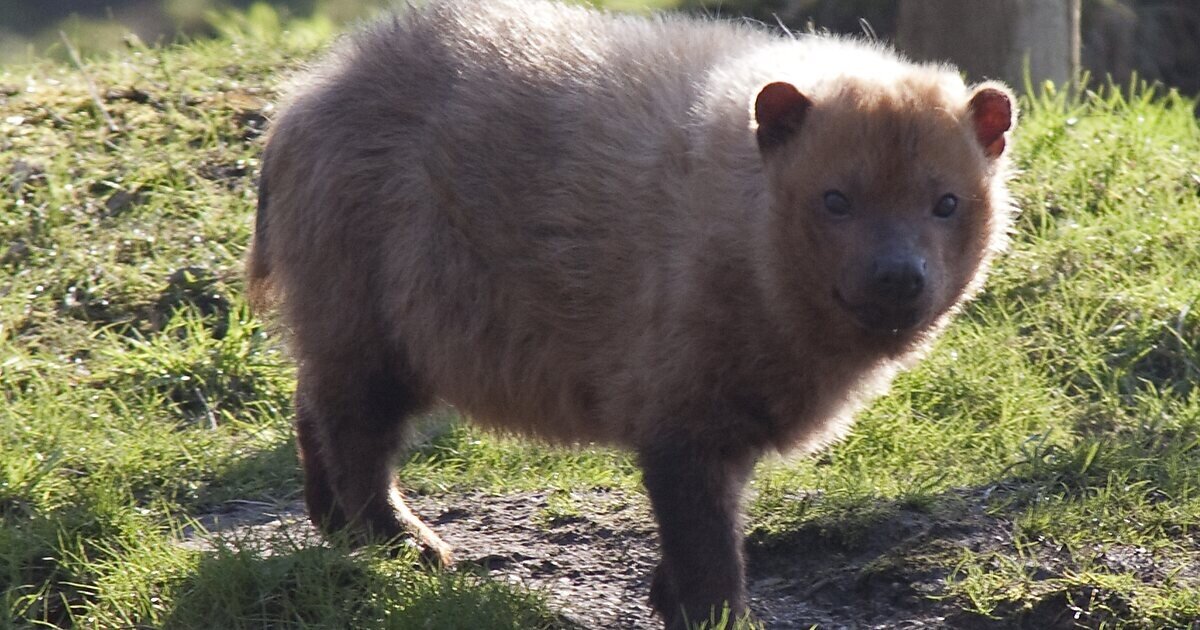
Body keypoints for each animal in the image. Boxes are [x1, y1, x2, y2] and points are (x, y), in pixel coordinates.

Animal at [248, 2, 1017, 624]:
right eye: (836, 198)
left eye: (946, 202)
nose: (897, 278)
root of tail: (303, 99)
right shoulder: (683, 387)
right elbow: (703, 534)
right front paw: (709, 612)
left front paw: (667, 595)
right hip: (377, 291)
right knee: (357, 423)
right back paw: (401, 542)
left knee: (317, 393)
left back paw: (333, 522)